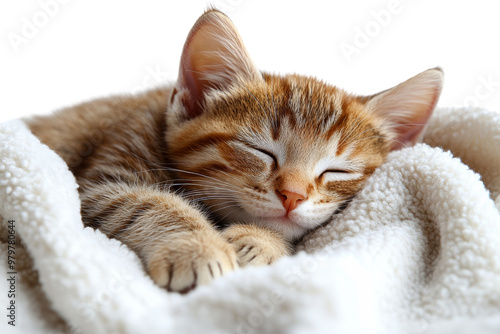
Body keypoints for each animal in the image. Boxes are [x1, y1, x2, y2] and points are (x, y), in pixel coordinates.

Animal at [26, 9, 442, 294]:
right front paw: (197, 247)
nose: (292, 195)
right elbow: (145, 202)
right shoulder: (100, 181)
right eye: (260, 150)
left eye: (337, 171)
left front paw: (260, 241)